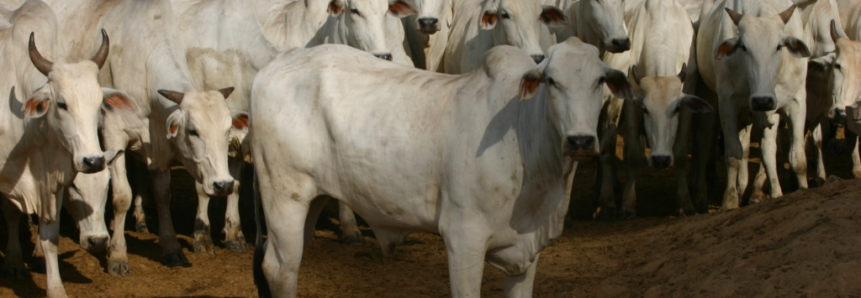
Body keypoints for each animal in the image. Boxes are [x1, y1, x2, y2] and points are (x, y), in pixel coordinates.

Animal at [0, 1, 134, 296]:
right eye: (61, 104)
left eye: (99, 104)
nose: (93, 161)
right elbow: (11, 213)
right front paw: (14, 262)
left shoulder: (51, 181)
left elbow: (50, 237)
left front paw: (55, 287)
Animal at [45, 0, 247, 272]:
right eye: (193, 130)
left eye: (227, 131)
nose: (223, 184)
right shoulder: (113, 133)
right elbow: (121, 196)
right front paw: (117, 254)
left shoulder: (159, 146)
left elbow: (163, 194)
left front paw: (171, 247)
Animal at [249, 39, 632, 296]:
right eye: (551, 81)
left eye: (600, 81)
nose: (580, 141)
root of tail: (273, 65)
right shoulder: (463, 240)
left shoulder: (526, 252)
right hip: (283, 196)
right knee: (280, 268)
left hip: (310, 200)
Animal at [696, 1, 808, 210]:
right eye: (744, 47)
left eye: (779, 46)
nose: (762, 100)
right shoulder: (728, 102)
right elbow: (734, 154)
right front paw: (730, 200)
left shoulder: (796, 101)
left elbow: (797, 157)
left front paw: (802, 190)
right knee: (739, 147)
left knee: (767, 149)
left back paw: (760, 192)